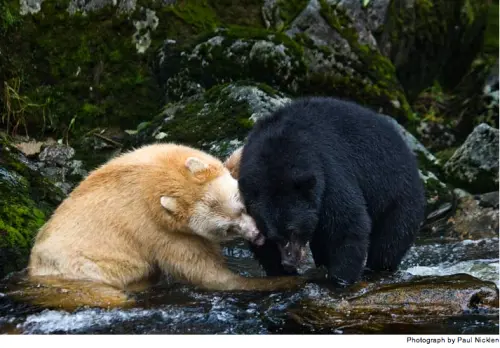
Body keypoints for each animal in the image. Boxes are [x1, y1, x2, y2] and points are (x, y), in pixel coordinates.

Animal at [236, 96, 424, 286]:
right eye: (274, 236)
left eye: (294, 231)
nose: (289, 262)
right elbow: (261, 244)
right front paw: (281, 273)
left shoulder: (328, 172)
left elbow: (347, 224)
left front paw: (340, 279)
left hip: (398, 197)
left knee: (390, 240)